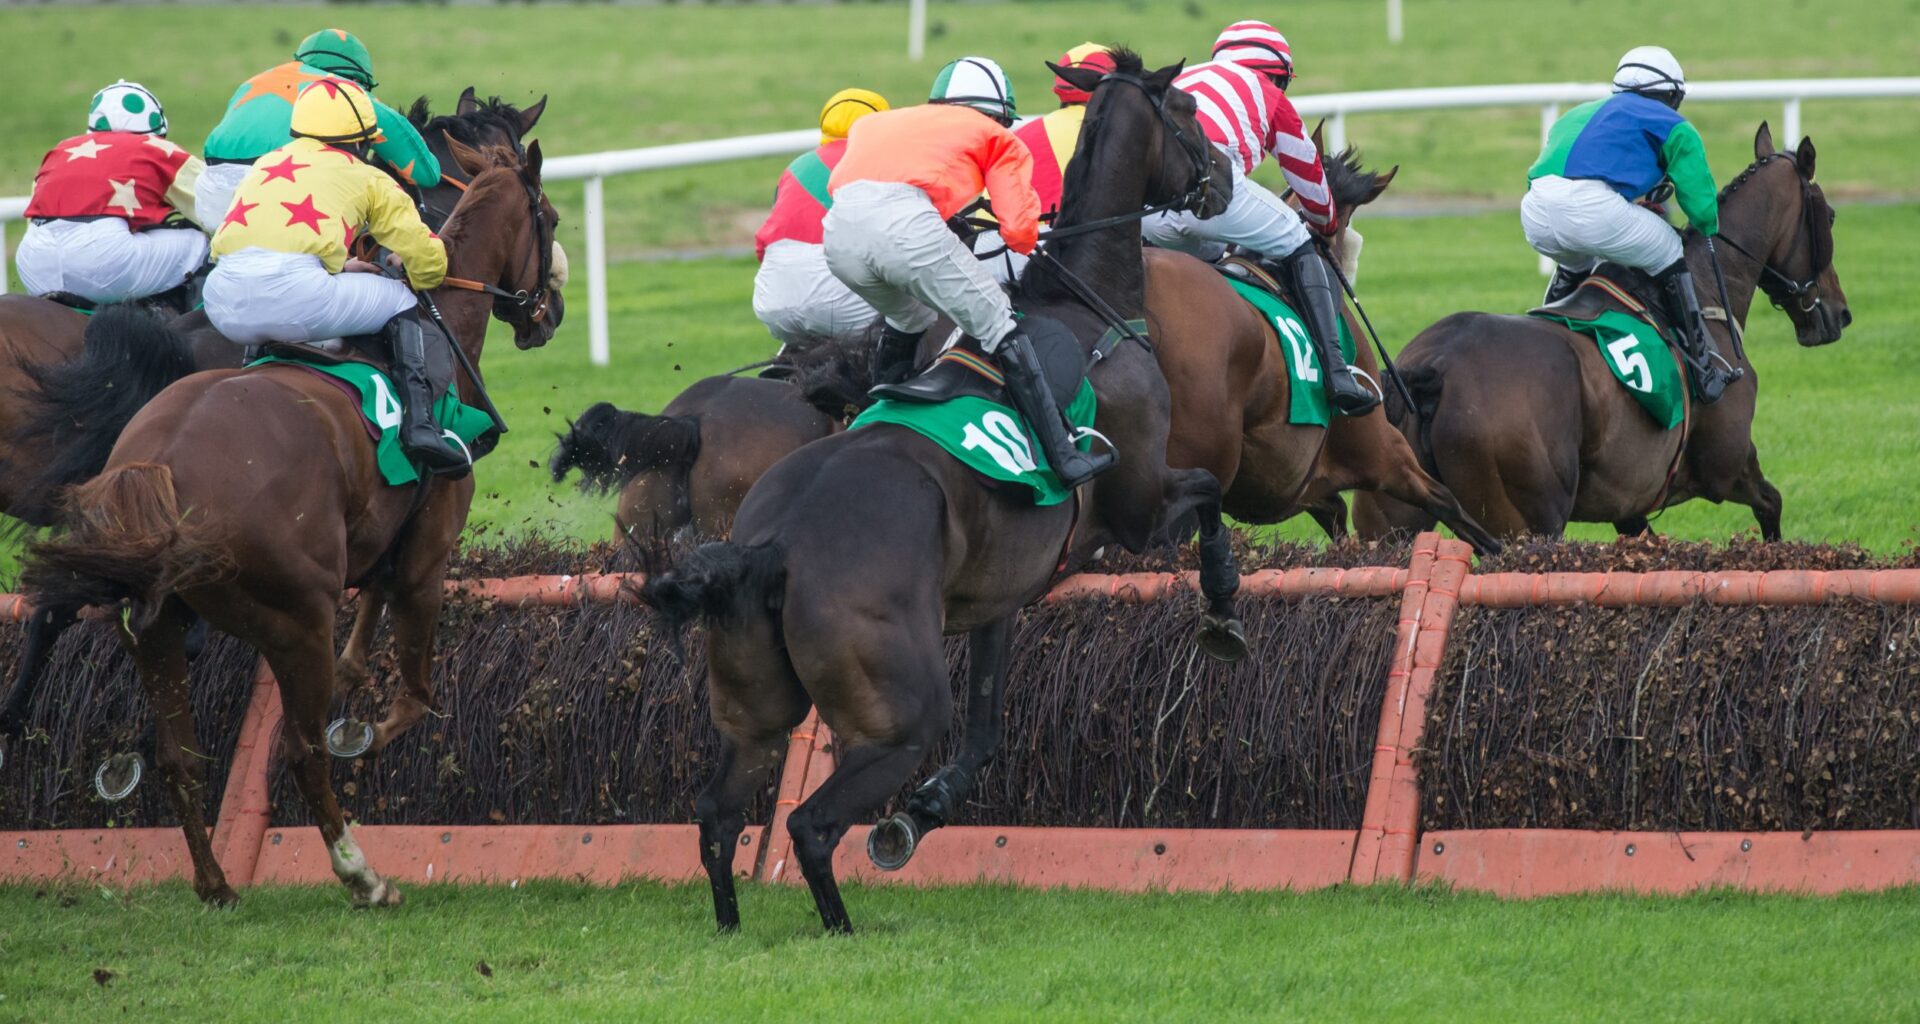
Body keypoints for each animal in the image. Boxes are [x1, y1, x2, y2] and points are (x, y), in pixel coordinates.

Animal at [19, 136, 560, 908]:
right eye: (548, 217)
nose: (551, 310)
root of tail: (161, 464)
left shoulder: (379, 540)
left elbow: (367, 624)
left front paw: (358, 677)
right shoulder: (427, 553)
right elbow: (413, 699)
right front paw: (360, 734)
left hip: (156, 626)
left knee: (180, 758)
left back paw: (217, 884)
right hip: (294, 616)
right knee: (299, 750)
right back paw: (362, 875)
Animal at [642, 50, 1240, 934]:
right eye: (1191, 113)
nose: (1225, 178)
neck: (1082, 302)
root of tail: (773, 544)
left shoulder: (1000, 597)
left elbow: (987, 729)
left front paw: (921, 816)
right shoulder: (1136, 509)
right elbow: (1210, 497)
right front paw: (1225, 610)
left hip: (754, 705)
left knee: (718, 812)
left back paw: (729, 926)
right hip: (898, 711)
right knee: (810, 823)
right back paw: (840, 928)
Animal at [1351, 124, 1847, 542]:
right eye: (1831, 216)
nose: (1839, 314)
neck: (1705, 286)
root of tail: (1433, 368)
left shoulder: (1629, 502)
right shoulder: (1726, 467)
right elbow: (1771, 504)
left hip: (1389, 513)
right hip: (1527, 523)